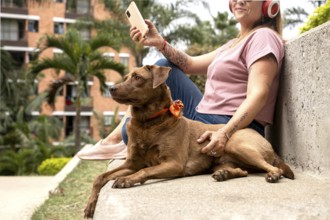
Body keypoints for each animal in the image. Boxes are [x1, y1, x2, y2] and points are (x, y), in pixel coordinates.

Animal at [83, 64, 294, 217]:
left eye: (137, 77)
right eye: (126, 76)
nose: (111, 88)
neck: (147, 123)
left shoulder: (173, 163)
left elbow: (145, 171)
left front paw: (126, 180)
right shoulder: (131, 163)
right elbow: (100, 178)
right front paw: (90, 205)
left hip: (237, 144)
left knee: (272, 168)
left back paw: (273, 175)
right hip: (219, 161)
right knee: (242, 171)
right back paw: (224, 174)